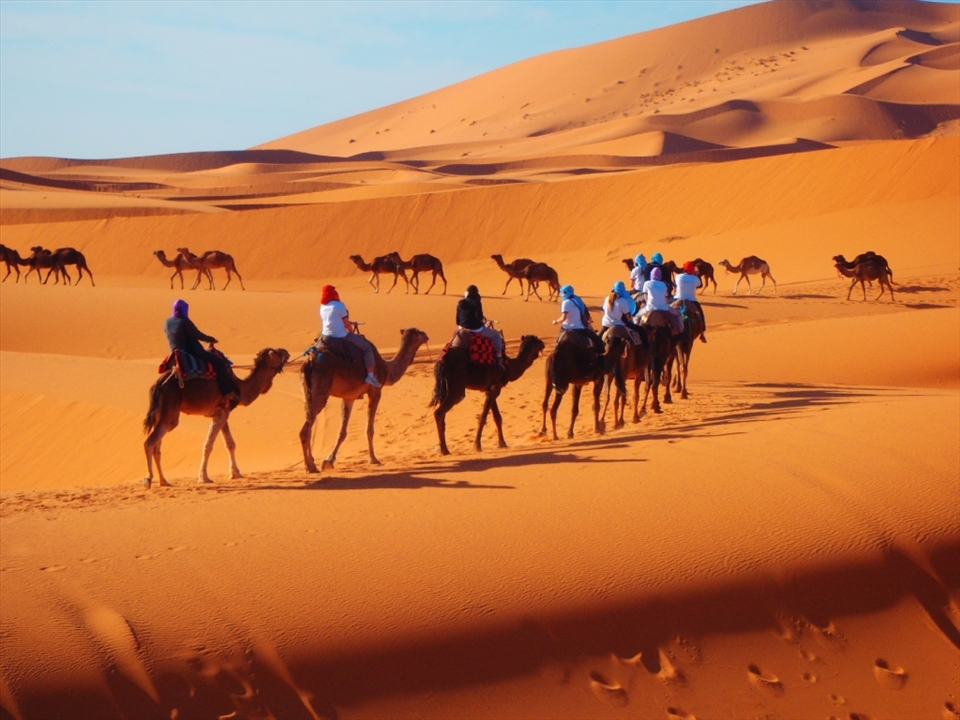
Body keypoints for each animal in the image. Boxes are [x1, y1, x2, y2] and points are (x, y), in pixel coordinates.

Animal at [142, 347, 290, 487]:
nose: (286, 351)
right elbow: (208, 445)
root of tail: (158, 384)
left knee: (157, 448)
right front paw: (204, 478)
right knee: (150, 442)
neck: (240, 388)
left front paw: (235, 473)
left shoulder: (223, 412)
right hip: (170, 412)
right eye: (277, 353)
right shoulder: (222, 411)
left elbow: (230, 443)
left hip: (160, 414)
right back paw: (148, 480)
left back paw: (164, 481)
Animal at [299, 327, 429, 472]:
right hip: (321, 390)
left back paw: (312, 463)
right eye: (419, 332)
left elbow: (342, 432)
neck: (387, 369)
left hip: (307, 392)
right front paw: (373, 459)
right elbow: (369, 429)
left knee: (309, 424)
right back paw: (310, 467)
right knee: (306, 429)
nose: (426, 335)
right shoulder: (375, 391)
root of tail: (309, 362)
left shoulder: (349, 397)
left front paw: (329, 461)